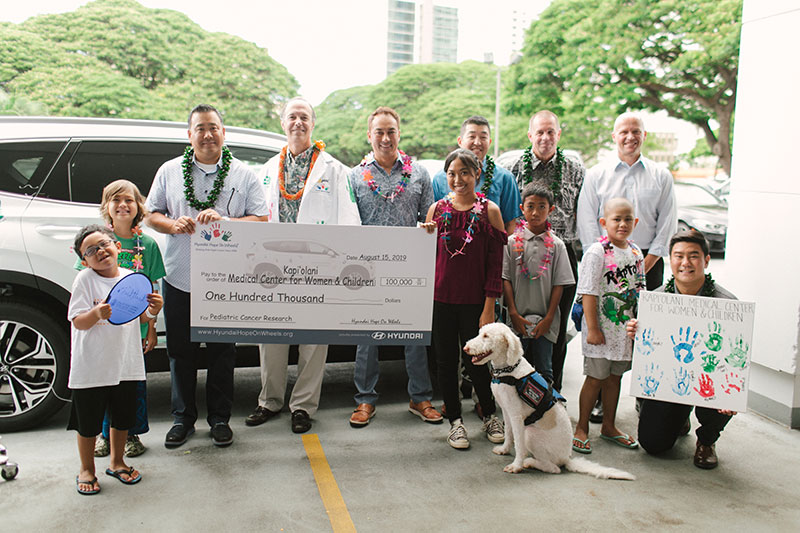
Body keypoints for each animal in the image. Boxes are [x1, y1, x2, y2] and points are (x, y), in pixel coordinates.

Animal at [466, 322, 636, 480]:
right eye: (480, 333)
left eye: (486, 336)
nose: (466, 348)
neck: (508, 370)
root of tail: (566, 458)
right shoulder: (507, 412)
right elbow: (508, 433)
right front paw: (504, 449)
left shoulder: (516, 417)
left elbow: (519, 444)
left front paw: (516, 465)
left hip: (530, 433)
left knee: (553, 468)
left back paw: (529, 462)